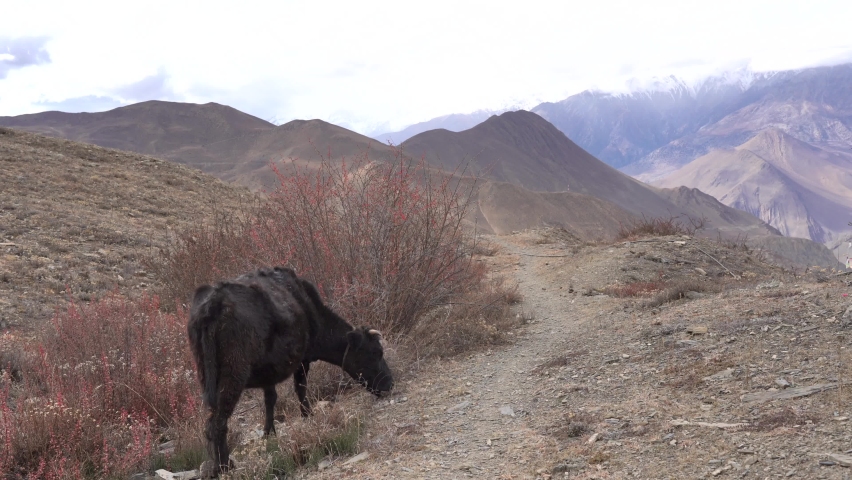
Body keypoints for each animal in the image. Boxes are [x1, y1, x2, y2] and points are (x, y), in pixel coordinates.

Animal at [187, 266, 394, 478]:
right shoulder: (302, 360)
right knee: (217, 422)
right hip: (233, 374)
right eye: (376, 352)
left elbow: (270, 399)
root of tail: (213, 304)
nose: (390, 383)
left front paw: (269, 433)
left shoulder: (268, 370)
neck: (310, 309)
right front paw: (308, 415)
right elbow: (300, 388)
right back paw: (224, 466)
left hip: (206, 375)